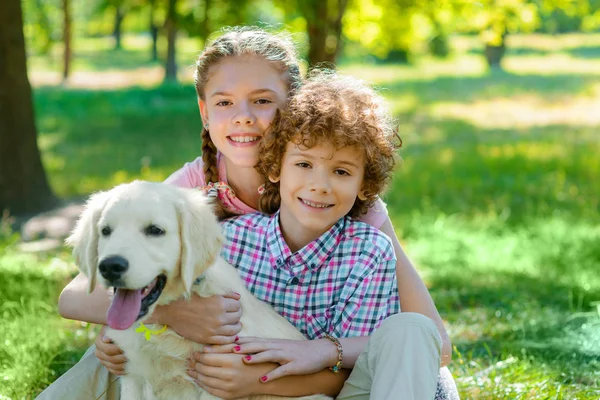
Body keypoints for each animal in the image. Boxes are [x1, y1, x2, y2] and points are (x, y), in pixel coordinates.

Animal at [70, 182, 332, 400]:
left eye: (155, 230)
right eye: (105, 231)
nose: (110, 266)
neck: (161, 329)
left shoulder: (214, 381)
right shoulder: (133, 376)